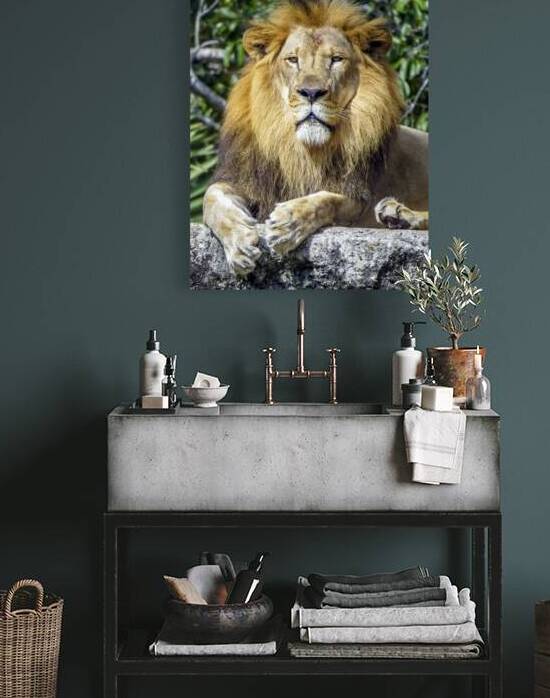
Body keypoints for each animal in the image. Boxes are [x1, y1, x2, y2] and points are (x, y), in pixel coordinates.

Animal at [203, 0, 428, 277]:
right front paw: (240, 242)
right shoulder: (248, 180)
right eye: (292, 60)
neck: (302, 150)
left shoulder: (358, 197)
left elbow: (327, 199)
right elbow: (212, 197)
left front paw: (288, 221)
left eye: (336, 60)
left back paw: (400, 214)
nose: (311, 92)